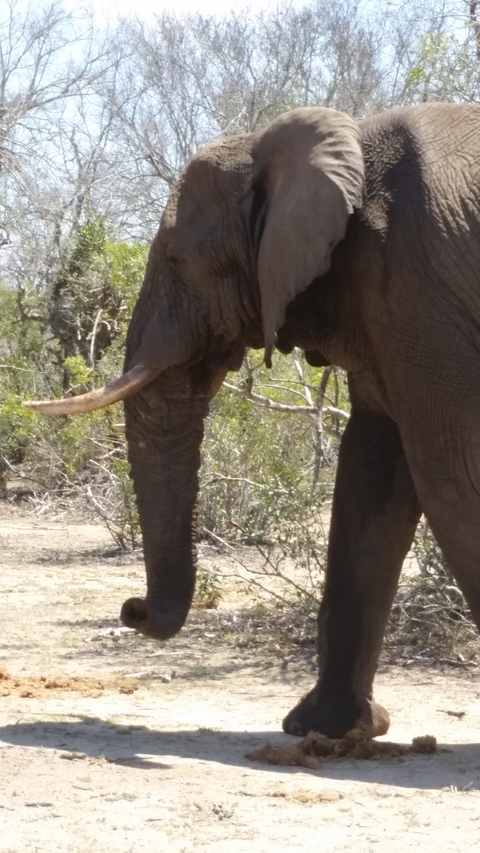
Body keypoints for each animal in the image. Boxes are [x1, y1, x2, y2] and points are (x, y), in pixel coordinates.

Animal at [26, 102, 480, 739]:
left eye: (177, 262)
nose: (131, 610)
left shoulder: (421, 284)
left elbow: (449, 474)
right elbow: (369, 471)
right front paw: (327, 731)